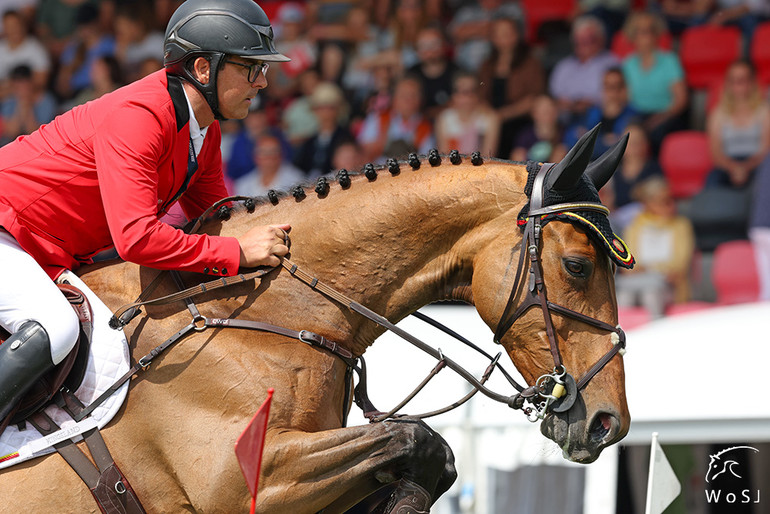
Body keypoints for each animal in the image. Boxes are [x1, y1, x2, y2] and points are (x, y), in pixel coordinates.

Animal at [0, 126, 632, 510]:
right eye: (577, 266)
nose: (610, 424)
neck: (268, 312)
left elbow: (426, 455)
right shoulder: (242, 477)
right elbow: (418, 439)